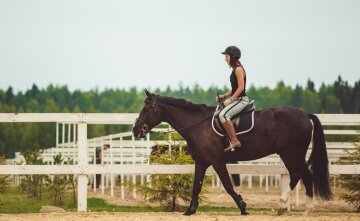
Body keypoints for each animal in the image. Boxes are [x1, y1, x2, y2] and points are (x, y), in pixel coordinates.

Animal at [134, 90, 334, 216]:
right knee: (300, 176)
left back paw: (295, 207)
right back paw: (294, 208)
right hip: (291, 155)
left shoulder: (217, 161)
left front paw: (243, 207)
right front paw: (190, 210)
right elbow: (196, 186)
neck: (199, 124)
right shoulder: (202, 161)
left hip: (292, 154)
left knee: (302, 175)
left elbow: (228, 185)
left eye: (146, 109)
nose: (135, 130)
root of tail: (305, 115)